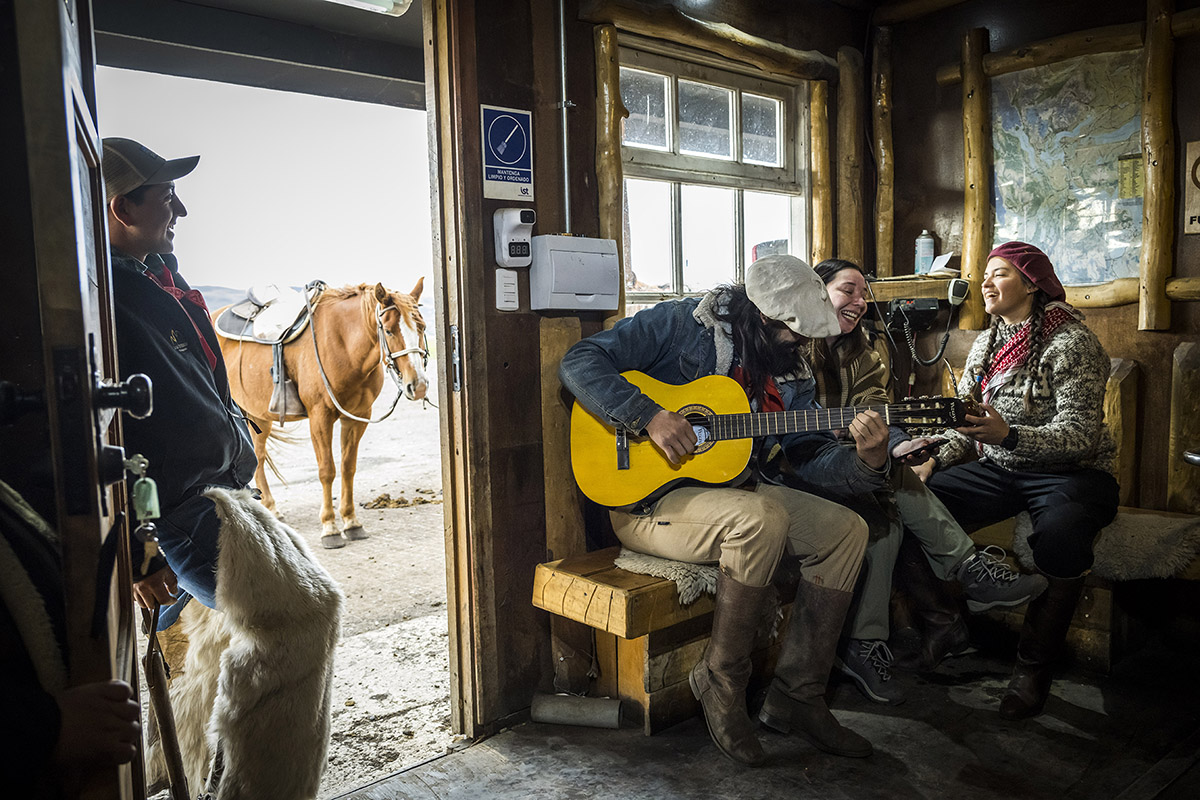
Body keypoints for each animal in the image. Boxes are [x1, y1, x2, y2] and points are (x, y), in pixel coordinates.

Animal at [218, 281, 429, 551]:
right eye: (390, 331)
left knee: (260, 455)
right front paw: (330, 527)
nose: (419, 385)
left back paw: (271, 508)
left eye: (421, 327)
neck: (343, 345)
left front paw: (351, 522)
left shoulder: (357, 417)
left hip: (259, 415)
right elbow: (327, 470)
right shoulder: (320, 417)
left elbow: (348, 467)